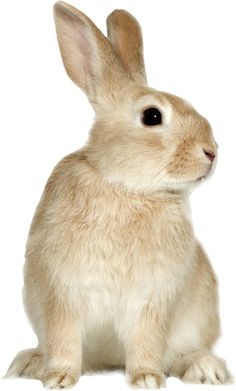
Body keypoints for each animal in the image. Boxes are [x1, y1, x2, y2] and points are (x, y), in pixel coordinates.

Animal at [6, 1, 232, 390]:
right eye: (152, 116)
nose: (212, 152)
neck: (125, 186)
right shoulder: (62, 292)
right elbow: (64, 338)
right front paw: (58, 378)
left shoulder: (153, 301)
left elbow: (147, 341)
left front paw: (147, 379)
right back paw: (29, 363)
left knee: (183, 352)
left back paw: (205, 369)